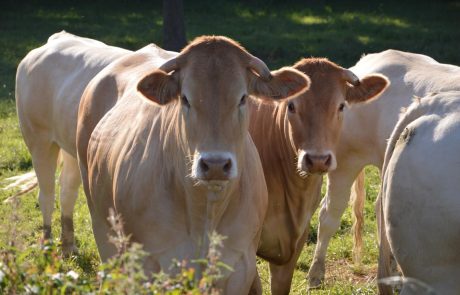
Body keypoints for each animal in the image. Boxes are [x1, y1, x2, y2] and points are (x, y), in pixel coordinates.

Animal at [77, 35, 310, 294]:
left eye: (242, 98)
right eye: (185, 99)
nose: (215, 164)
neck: (205, 213)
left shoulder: (240, 266)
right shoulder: (150, 266)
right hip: (101, 225)